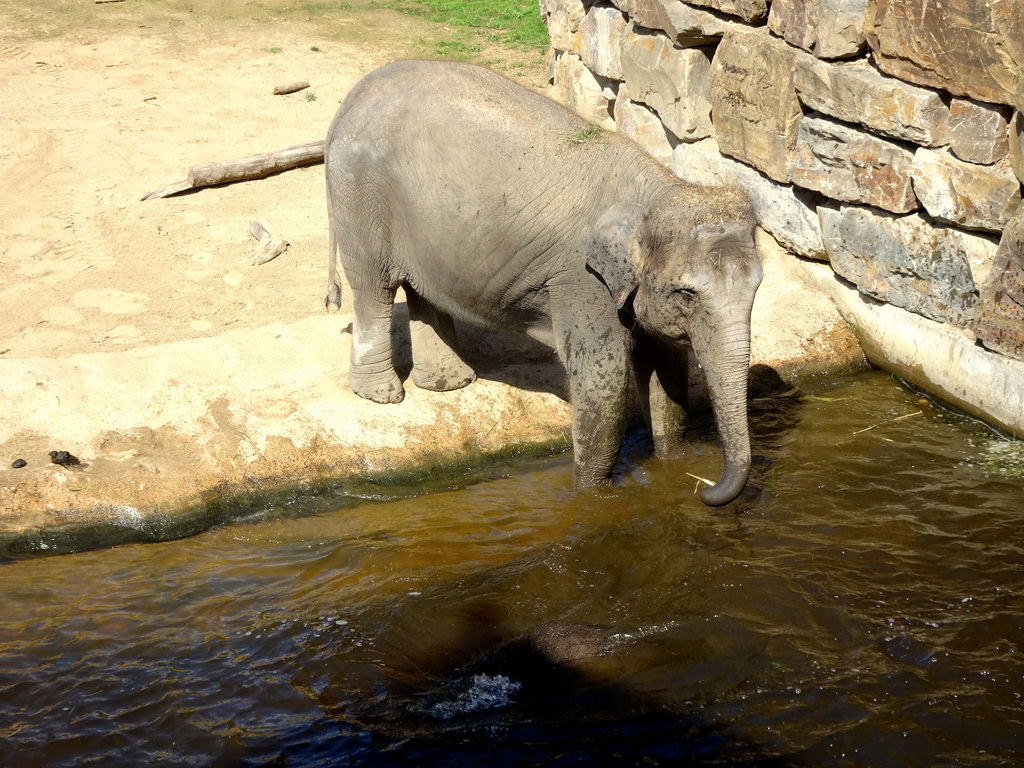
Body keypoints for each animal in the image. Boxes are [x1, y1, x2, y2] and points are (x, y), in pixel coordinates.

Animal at [323, 58, 765, 505]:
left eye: (757, 291)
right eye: (687, 294)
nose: (706, 491)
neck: (658, 191)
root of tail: (352, 97)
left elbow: (666, 369)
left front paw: (672, 464)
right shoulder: (580, 278)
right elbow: (602, 376)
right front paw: (593, 494)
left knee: (422, 292)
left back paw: (449, 383)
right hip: (359, 195)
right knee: (374, 288)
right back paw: (382, 394)